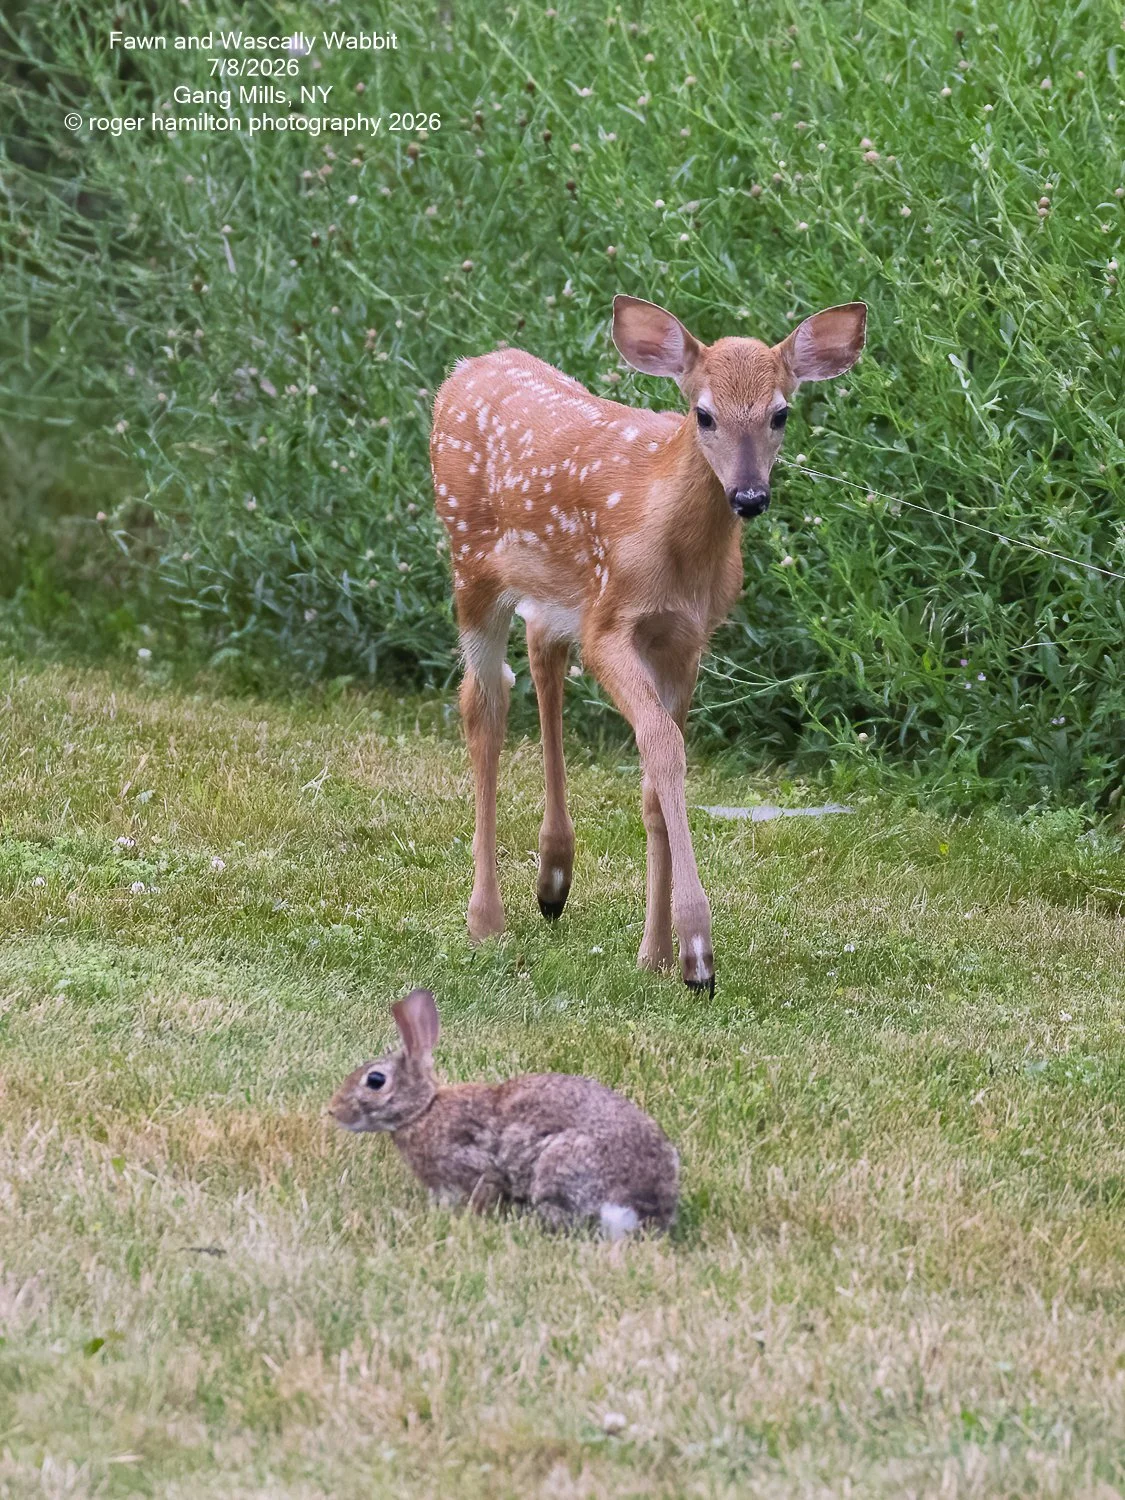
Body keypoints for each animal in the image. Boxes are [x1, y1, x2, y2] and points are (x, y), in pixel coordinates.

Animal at [429, 295, 866, 994]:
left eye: (780, 413)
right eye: (704, 413)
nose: (750, 495)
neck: (670, 540)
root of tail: (467, 369)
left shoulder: (685, 639)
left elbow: (658, 775)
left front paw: (657, 953)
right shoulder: (610, 624)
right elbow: (663, 744)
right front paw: (696, 952)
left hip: (553, 591)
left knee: (541, 655)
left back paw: (553, 880)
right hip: (471, 562)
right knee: (484, 705)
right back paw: (486, 920)